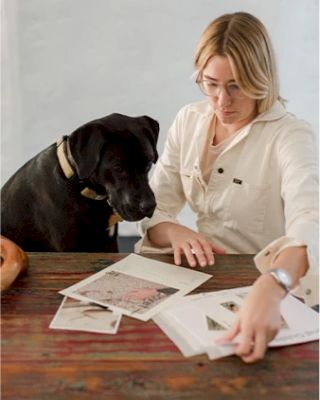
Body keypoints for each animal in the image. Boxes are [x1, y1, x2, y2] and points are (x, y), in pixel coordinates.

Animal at [0, 112, 159, 252]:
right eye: (118, 168)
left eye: (148, 164)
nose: (149, 206)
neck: (77, 183)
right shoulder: (71, 246)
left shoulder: (109, 242)